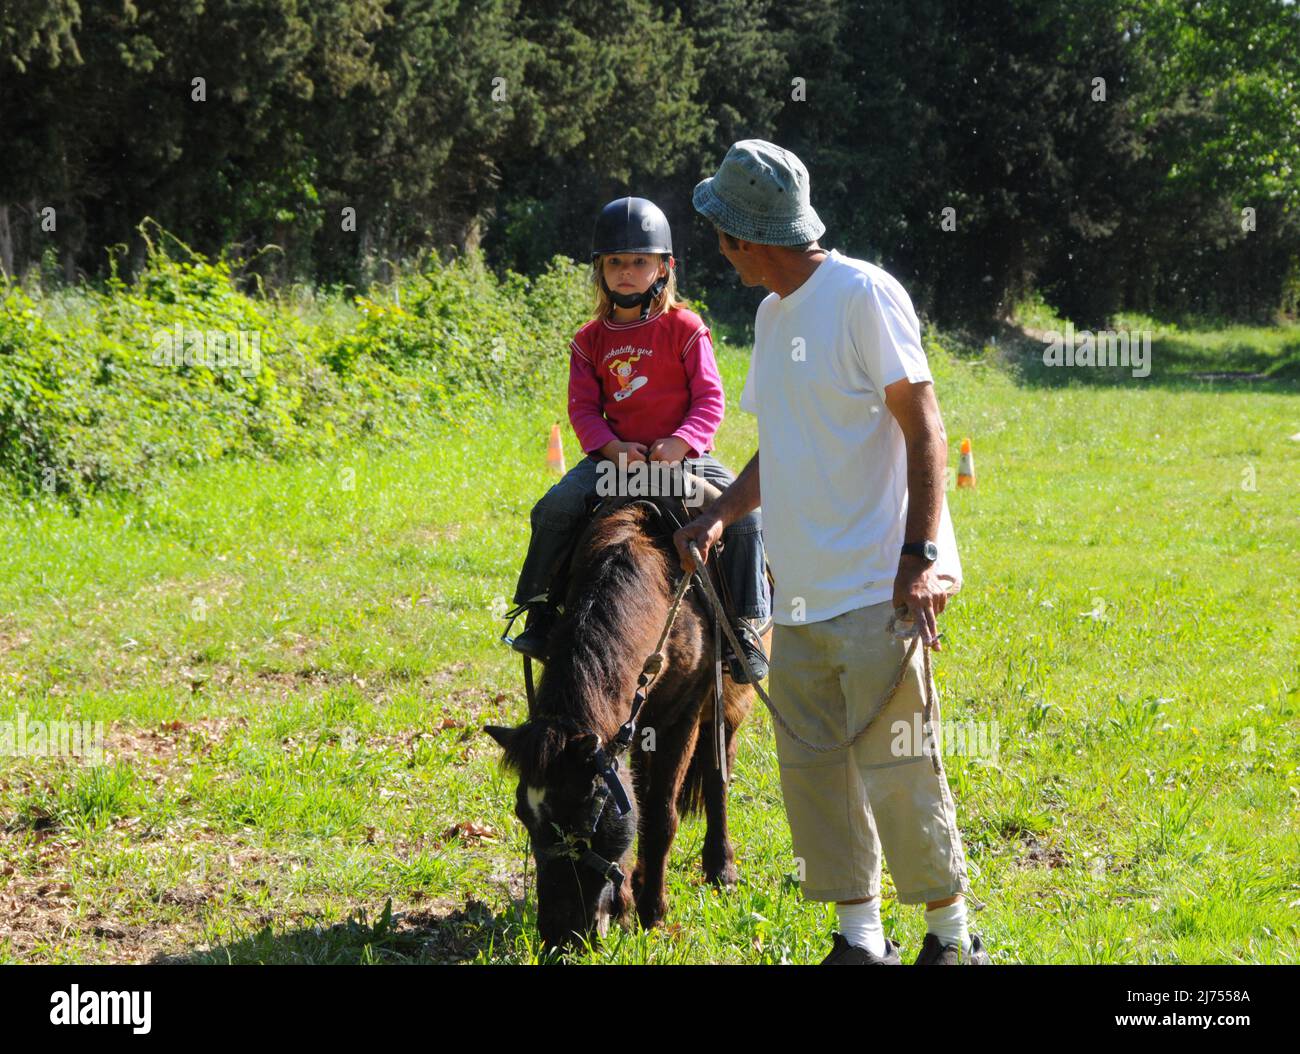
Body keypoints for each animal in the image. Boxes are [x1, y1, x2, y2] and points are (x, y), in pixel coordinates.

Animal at [488, 491, 769, 951]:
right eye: (523, 816)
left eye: (584, 819)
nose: (559, 938)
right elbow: (638, 799)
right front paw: (624, 904)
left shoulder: (682, 716)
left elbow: (661, 813)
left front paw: (652, 911)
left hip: (729, 703)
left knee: (717, 775)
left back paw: (720, 868)